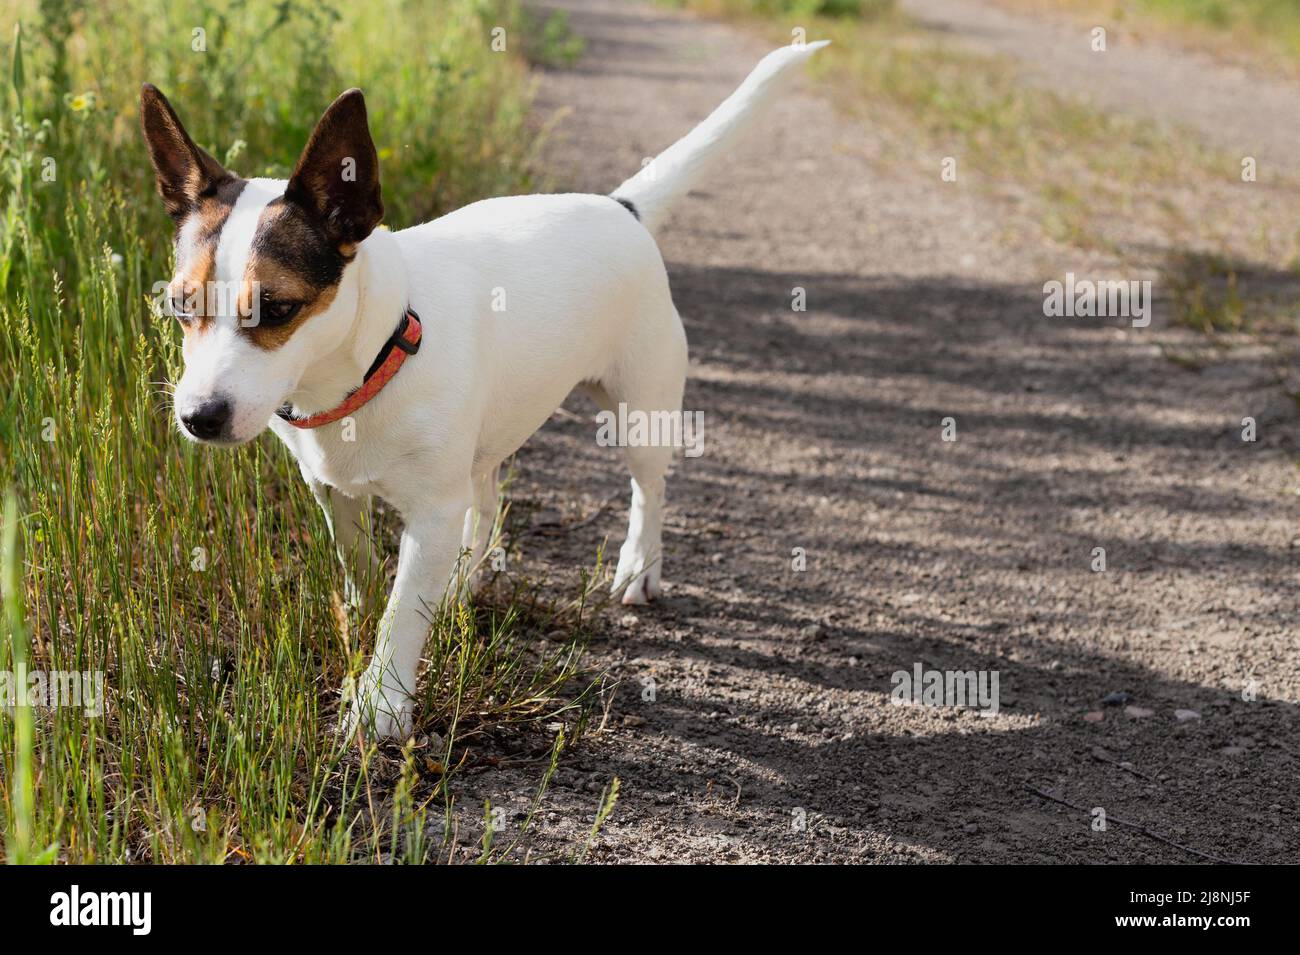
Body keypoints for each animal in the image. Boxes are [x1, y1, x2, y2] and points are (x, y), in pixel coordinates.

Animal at [142, 39, 826, 738]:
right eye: (179, 305)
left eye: (278, 309)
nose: (199, 417)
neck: (376, 356)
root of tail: (620, 207)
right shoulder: (334, 491)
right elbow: (361, 568)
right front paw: (363, 623)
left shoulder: (432, 510)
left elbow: (403, 612)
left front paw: (379, 706)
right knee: (489, 496)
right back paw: (463, 581)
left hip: (641, 412)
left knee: (648, 488)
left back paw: (638, 566)